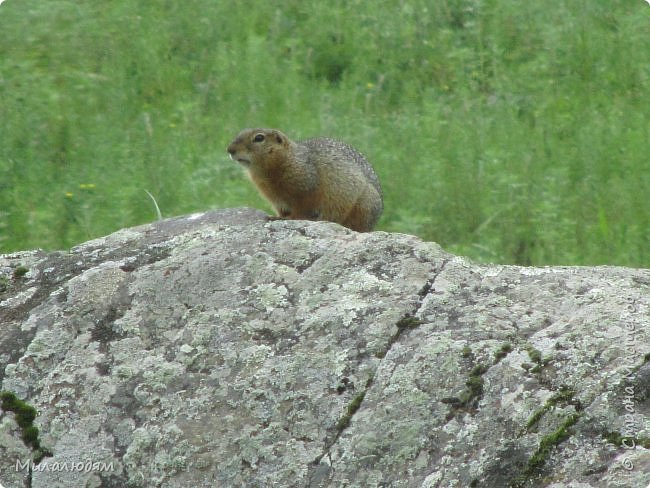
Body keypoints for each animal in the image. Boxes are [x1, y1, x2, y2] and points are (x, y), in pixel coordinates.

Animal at [227, 127, 382, 231]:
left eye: (259, 138)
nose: (229, 150)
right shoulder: (275, 198)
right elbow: (282, 209)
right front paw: (275, 216)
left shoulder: (305, 189)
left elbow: (301, 209)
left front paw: (287, 218)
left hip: (363, 206)